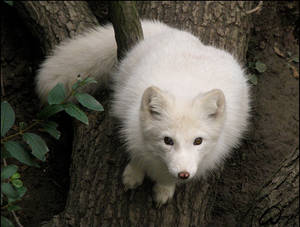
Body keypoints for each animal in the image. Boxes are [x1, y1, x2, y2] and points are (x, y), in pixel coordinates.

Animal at [35, 20, 251, 206]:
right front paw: (133, 175)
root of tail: (173, 32)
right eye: (167, 140)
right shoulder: (131, 127)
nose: (183, 174)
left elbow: (167, 179)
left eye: (198, 141)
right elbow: (136, 155)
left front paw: (164, 188)